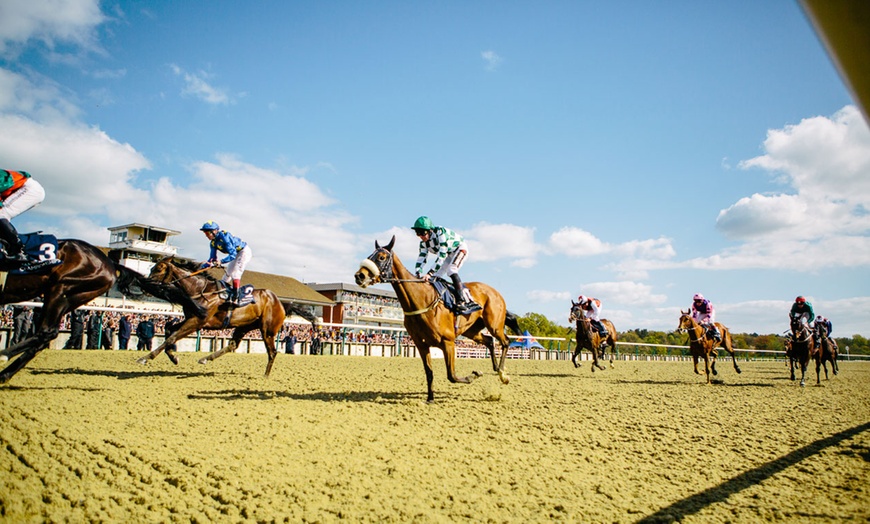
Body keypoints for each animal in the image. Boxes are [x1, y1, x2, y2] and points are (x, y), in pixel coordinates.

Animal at [134, 256, 316, 376]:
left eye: (158, 269)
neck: (200, 290)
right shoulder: (191, 319)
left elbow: (172, 336)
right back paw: (205, 358)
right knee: (233, 345)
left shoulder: (197, 321)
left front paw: (145, 358)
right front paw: (173, 357)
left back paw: (265, 375)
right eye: (151, 268)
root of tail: (281, 303)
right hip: (245, 325)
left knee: (272, 352)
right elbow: (169, 330)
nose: (144, 285)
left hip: (268, 330)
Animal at [352, 235, 520, 404]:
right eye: (369, 256)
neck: (421, 300)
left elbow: (452, 375)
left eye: (381, 257)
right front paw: (430, 398)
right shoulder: (421, 345)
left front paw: (474, 375)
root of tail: (496, 292)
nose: (359, 276)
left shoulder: (448, 342)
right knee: (490, 341)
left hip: (494, 325)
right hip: (471, 331)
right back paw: (497, 369)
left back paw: (503, 374)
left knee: (505, 341)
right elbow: (429, 373)